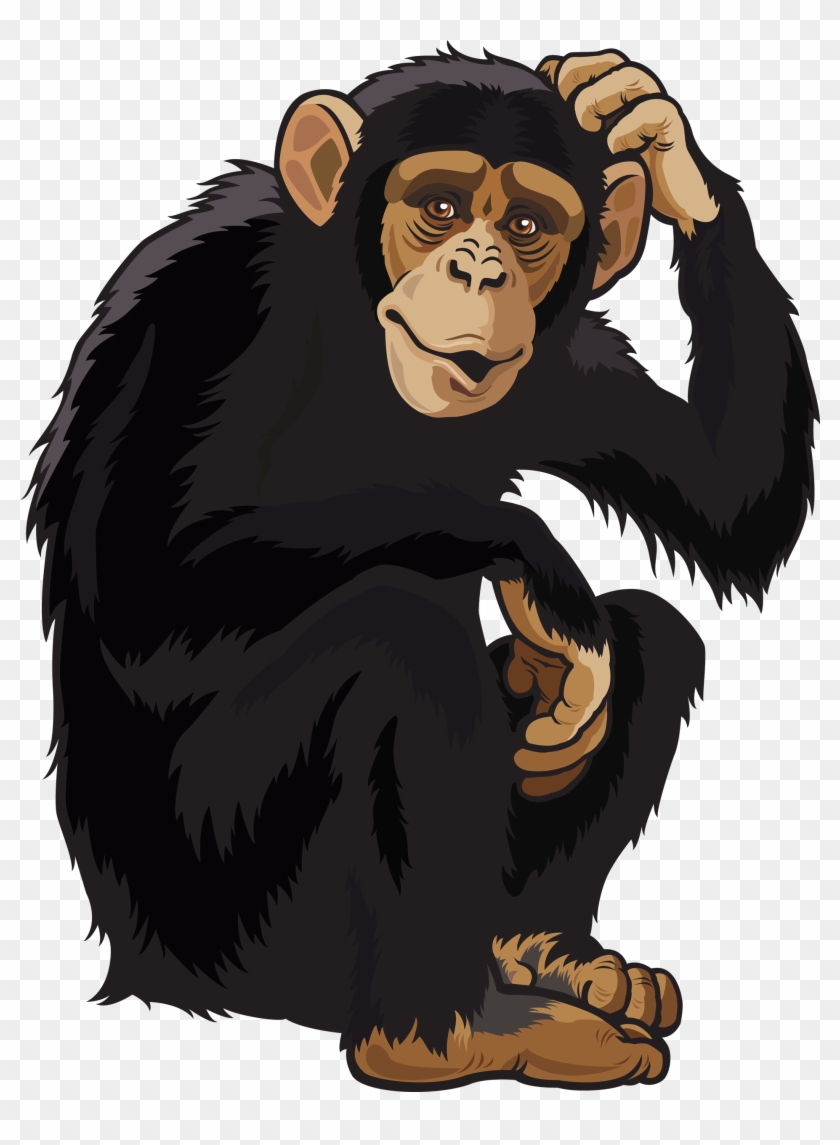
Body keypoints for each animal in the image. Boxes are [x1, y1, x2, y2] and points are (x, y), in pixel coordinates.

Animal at [27, 49, 817, 1090]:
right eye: (439, 206)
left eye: (526, 226)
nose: (479, 266)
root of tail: (139, 962)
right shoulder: (213, 304)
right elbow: (145, 575)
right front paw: (543, 572)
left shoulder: (565, 364)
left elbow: (730, 500)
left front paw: (649, 128)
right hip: (229, 921)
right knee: (397, 638)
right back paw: (443, 1031)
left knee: (658, 628)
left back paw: (547, 955)